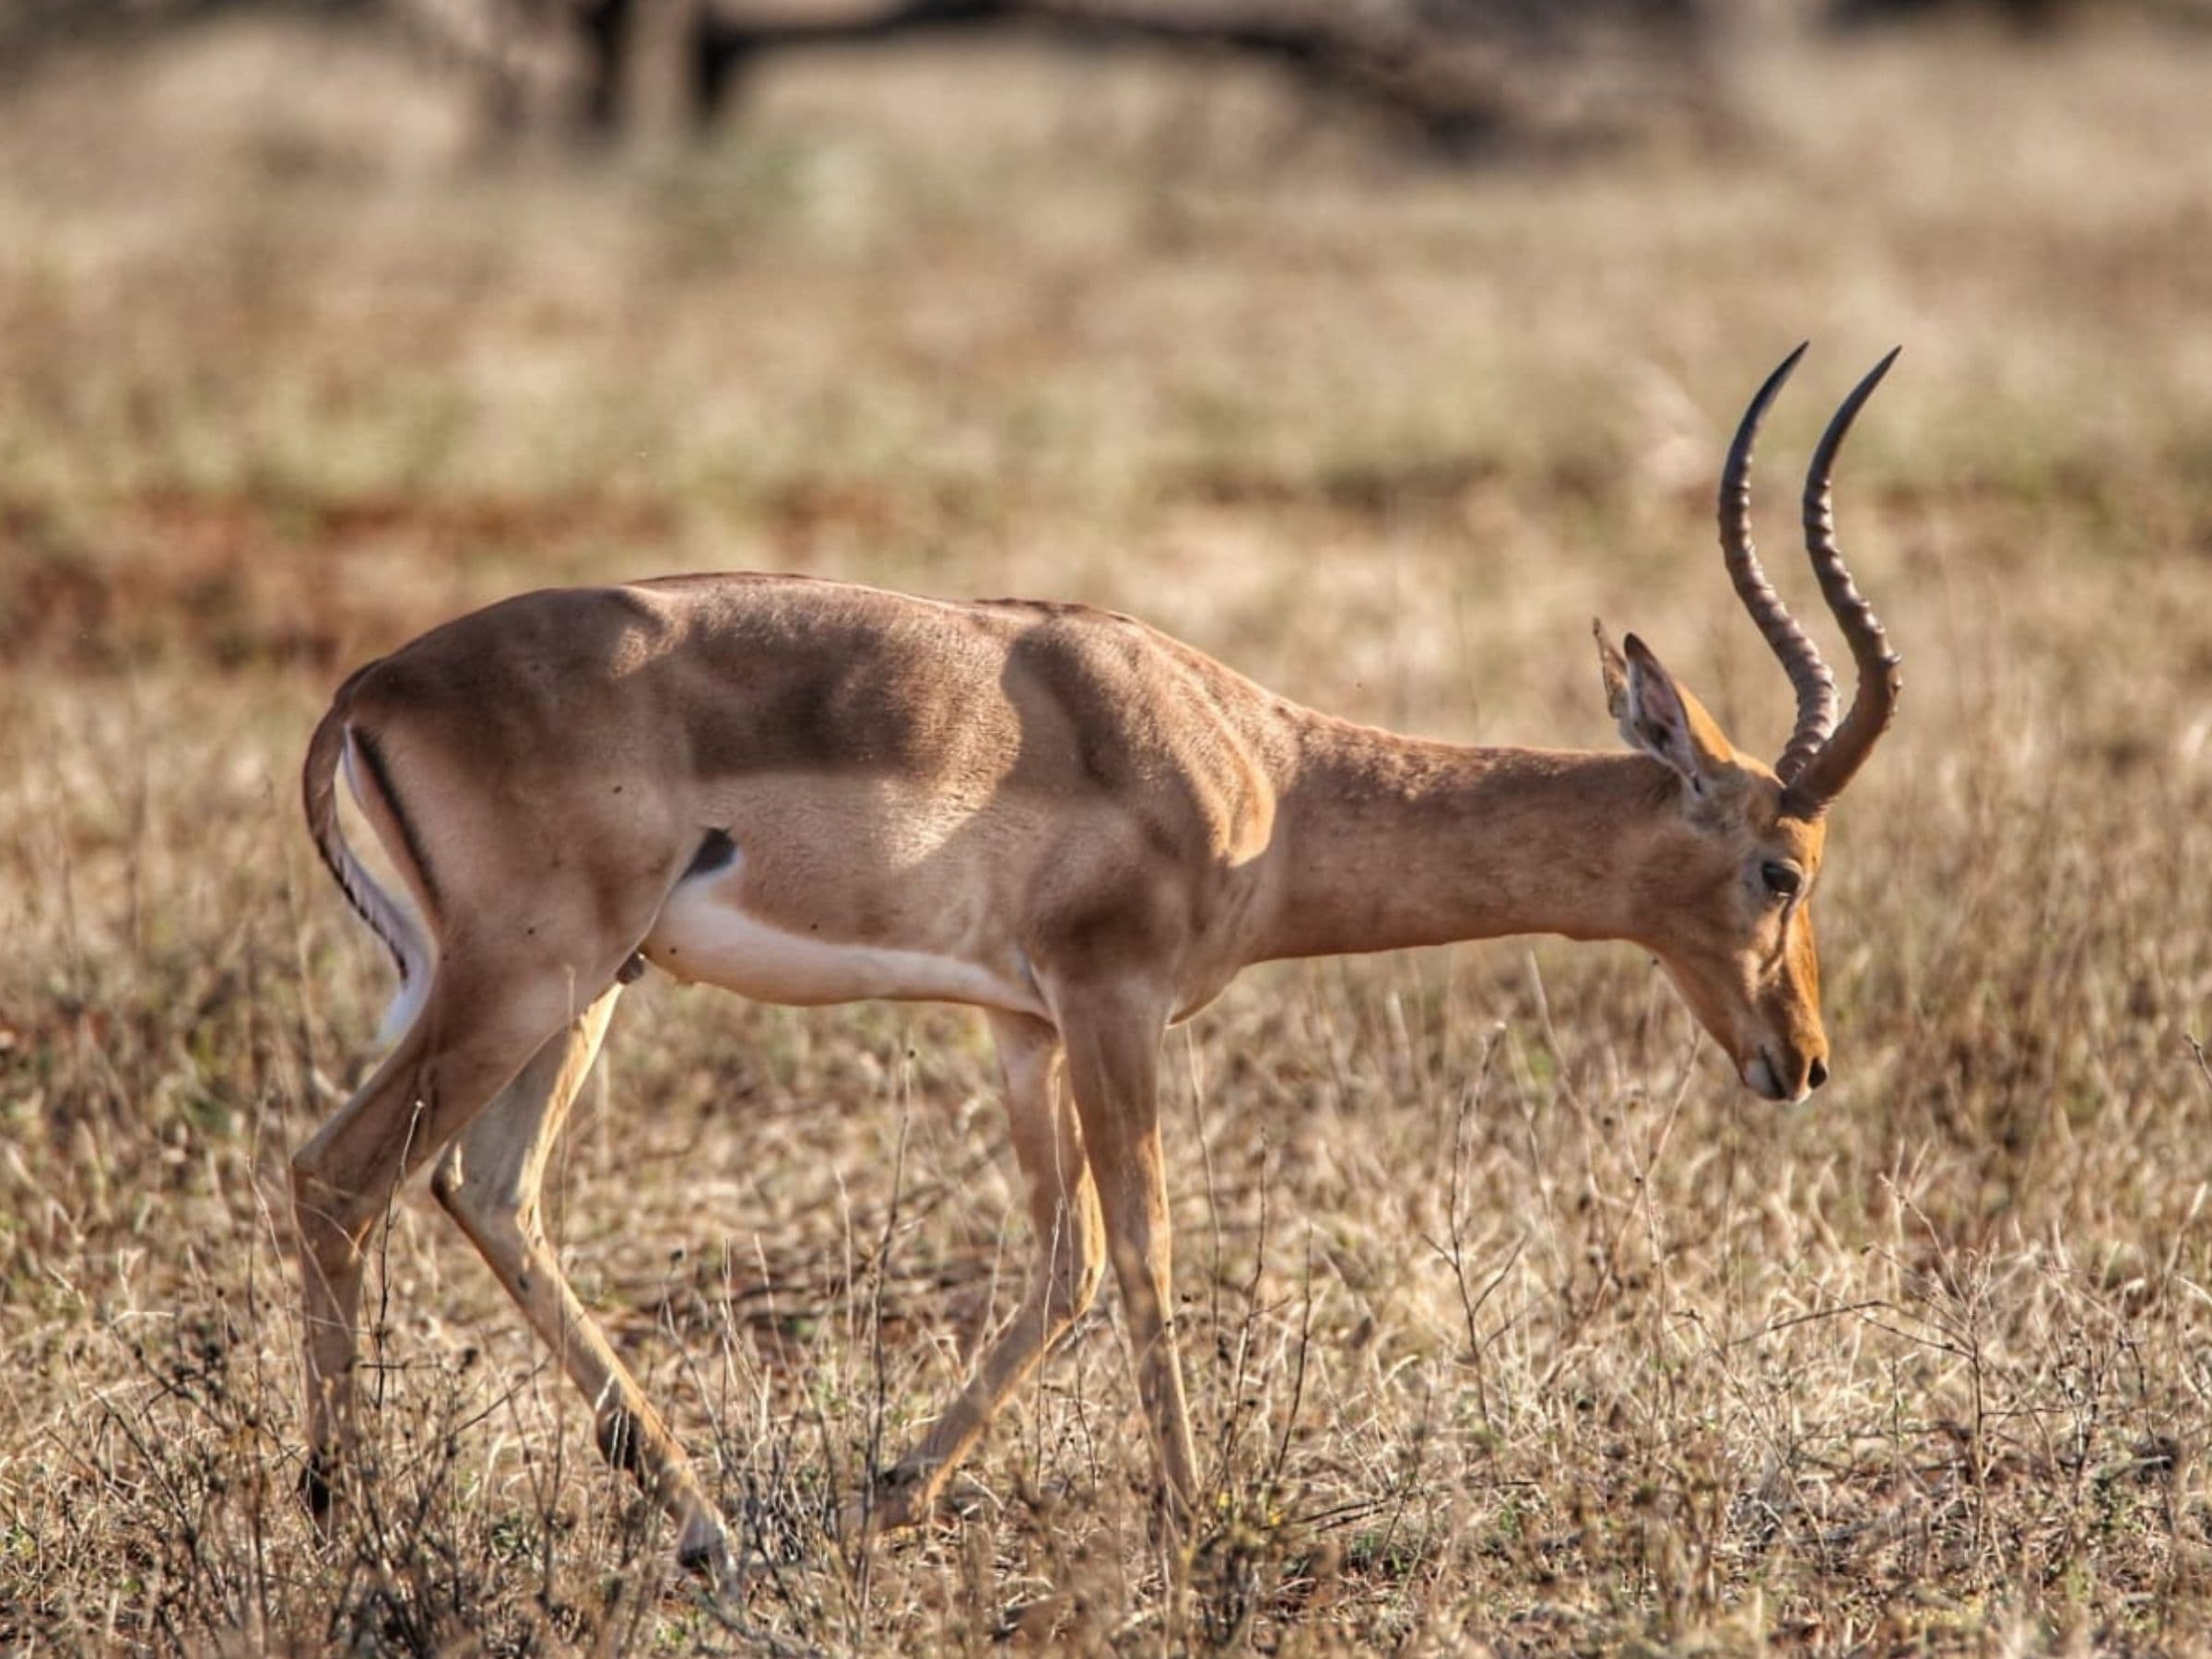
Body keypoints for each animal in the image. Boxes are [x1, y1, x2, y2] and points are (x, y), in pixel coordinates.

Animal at [292, 346, 1900, 1576]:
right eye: (1784, 865)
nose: (1805, 1061)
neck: (1261, 771)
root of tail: (372, 683)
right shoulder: (1114, 1001)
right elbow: (1146, 1246)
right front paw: (1202, 1520)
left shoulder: (1023, 1023)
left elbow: (1058, 1263)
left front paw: (892, 1497)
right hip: (522, 979)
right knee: (340, 1176)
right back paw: (343, 1522)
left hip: (580, 993)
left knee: (487, 1191)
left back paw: (705, 1527)